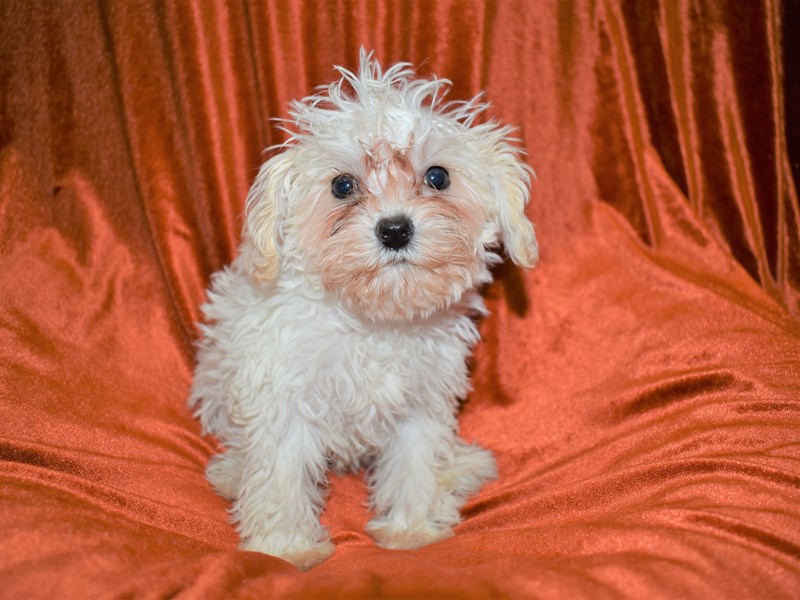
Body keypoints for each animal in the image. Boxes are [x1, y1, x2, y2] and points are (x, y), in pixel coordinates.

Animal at [188, 49, 536, 568]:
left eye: (437, 176)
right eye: (342, 185)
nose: (394, 229)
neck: (375, 319)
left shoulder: (421, 397)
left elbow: (415, 462)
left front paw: (413, 529)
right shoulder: (285, 392)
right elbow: (281, 473)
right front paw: (283, 548)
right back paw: (232, 472)